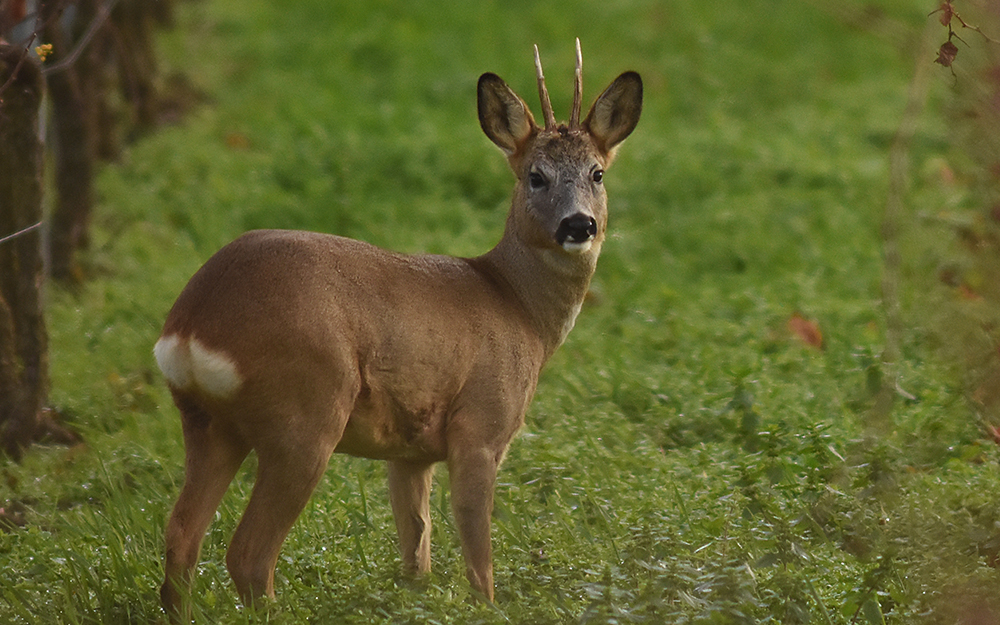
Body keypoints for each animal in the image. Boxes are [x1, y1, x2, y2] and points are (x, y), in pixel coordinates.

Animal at [154, 40, 640, 616]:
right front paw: (487, 607)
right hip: (307, 412)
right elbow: (478, 558)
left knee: (181, 536)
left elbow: (417, 552)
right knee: (248, 553)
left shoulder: (410, 451)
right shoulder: (481, 424)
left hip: (207, 421)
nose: (578, 224)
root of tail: (191, 324)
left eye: (597, 173)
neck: (517, 306)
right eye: (535, 175)